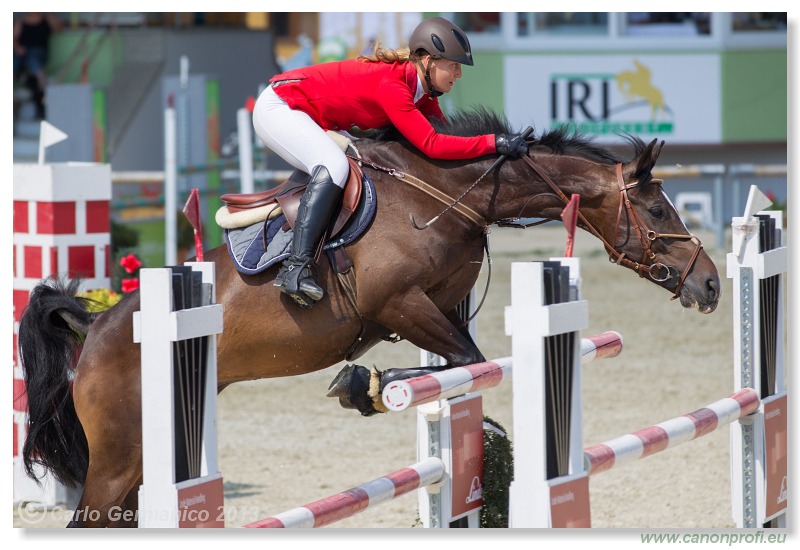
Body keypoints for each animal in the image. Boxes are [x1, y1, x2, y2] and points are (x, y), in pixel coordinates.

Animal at [17, 110, 720, 528]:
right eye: (656, 210)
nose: (710, 283)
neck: (448, 196)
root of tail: (96, 330)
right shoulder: (399, 306)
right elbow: (466, 361)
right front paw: (367, 386)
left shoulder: (438, 306)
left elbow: (465, 363)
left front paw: (377, 389)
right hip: (117, 460)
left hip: (143, 460)